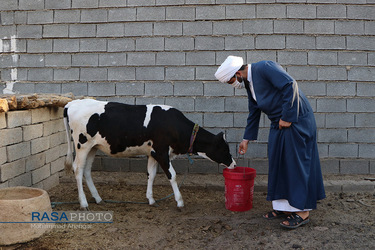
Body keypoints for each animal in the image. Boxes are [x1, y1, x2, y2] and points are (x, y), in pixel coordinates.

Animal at [63, 98, 236, 210]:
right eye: (225, 149)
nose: (234, 164)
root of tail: (72, 103)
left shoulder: (153, 153)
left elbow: (151, 175)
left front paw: (151, 200)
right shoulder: (161, 152)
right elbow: (172, 175)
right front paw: (179, 202)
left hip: (93, 147)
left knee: (86, 170)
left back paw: (98, 199)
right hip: (82, 145)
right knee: (78, 169)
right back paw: (84, 203)